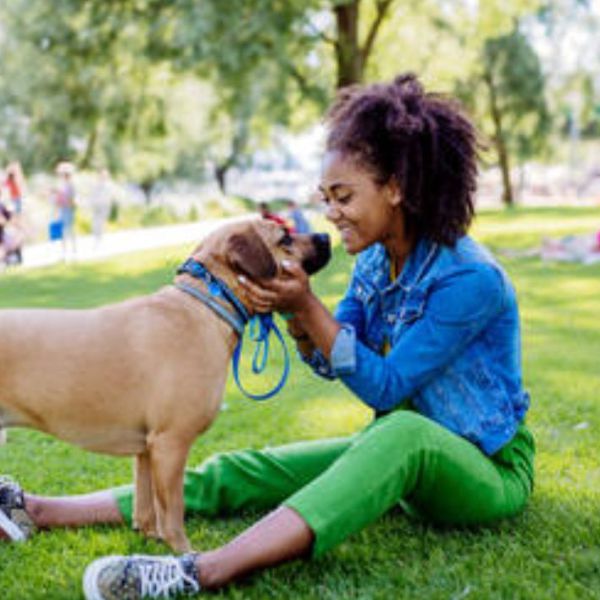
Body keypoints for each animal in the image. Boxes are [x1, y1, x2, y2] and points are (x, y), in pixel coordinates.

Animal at [0, 218, 330, 552]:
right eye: (285, 238)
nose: (326, 236)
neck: (206, 304)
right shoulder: (170, 443)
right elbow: (172, 510)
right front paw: (183, 552)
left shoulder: (147, 449)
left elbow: (146, 506)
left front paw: (151, 539)